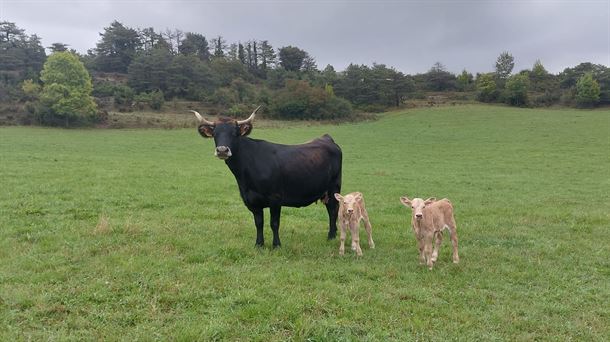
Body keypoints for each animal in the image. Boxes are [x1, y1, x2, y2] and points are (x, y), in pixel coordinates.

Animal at [192, 106, 340, 246]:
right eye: (215, 134)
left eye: (234, 133)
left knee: (333, 210)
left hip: (334, 188)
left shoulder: (275, 198)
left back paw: (331, 236)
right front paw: (259, 244)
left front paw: (276, 245)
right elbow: (259, 223)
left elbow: (274, 223)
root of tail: (326, 137)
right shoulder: (252, 201)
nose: (222, 150)